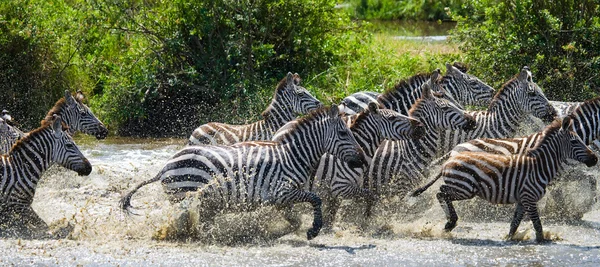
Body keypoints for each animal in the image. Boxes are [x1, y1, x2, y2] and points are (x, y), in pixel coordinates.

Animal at [119, 107, 366, 241]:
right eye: (344, 133)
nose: (363, 159)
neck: (293, 156)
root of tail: (165, 166)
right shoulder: (281, 192)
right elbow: (316, 199)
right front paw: (313, 230)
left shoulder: (281, 199)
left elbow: (295, 218)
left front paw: (282, 231)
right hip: (184, 195)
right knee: (184, 221)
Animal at [410, 117, 596, 243]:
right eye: (575, 141)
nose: (595, 159)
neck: (539, 166)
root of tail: (448, 160)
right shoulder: (530, 198)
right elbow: (537, 224)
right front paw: (541, 240)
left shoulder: (523, 200)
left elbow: (515, 223)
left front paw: (508, 238)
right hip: (464, 188)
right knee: (441, 194)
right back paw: (451, 222)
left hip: (461, 187)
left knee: (442, 194)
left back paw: (450, 222)